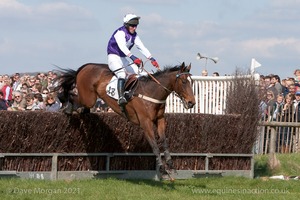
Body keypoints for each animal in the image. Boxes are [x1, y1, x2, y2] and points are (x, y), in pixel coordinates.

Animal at [56, 61, 196, 180]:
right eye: (184, 81)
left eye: (192, 82)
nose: (192, 103)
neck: (152, 92)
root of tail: (87, 66)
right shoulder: (145, 123)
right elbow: (155, 146)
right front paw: (162, 169)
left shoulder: (160, 119)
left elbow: (164, 141)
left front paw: (171, 165)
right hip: (88, 97)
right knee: (74, 96)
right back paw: (65, 104)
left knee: (82, 105)